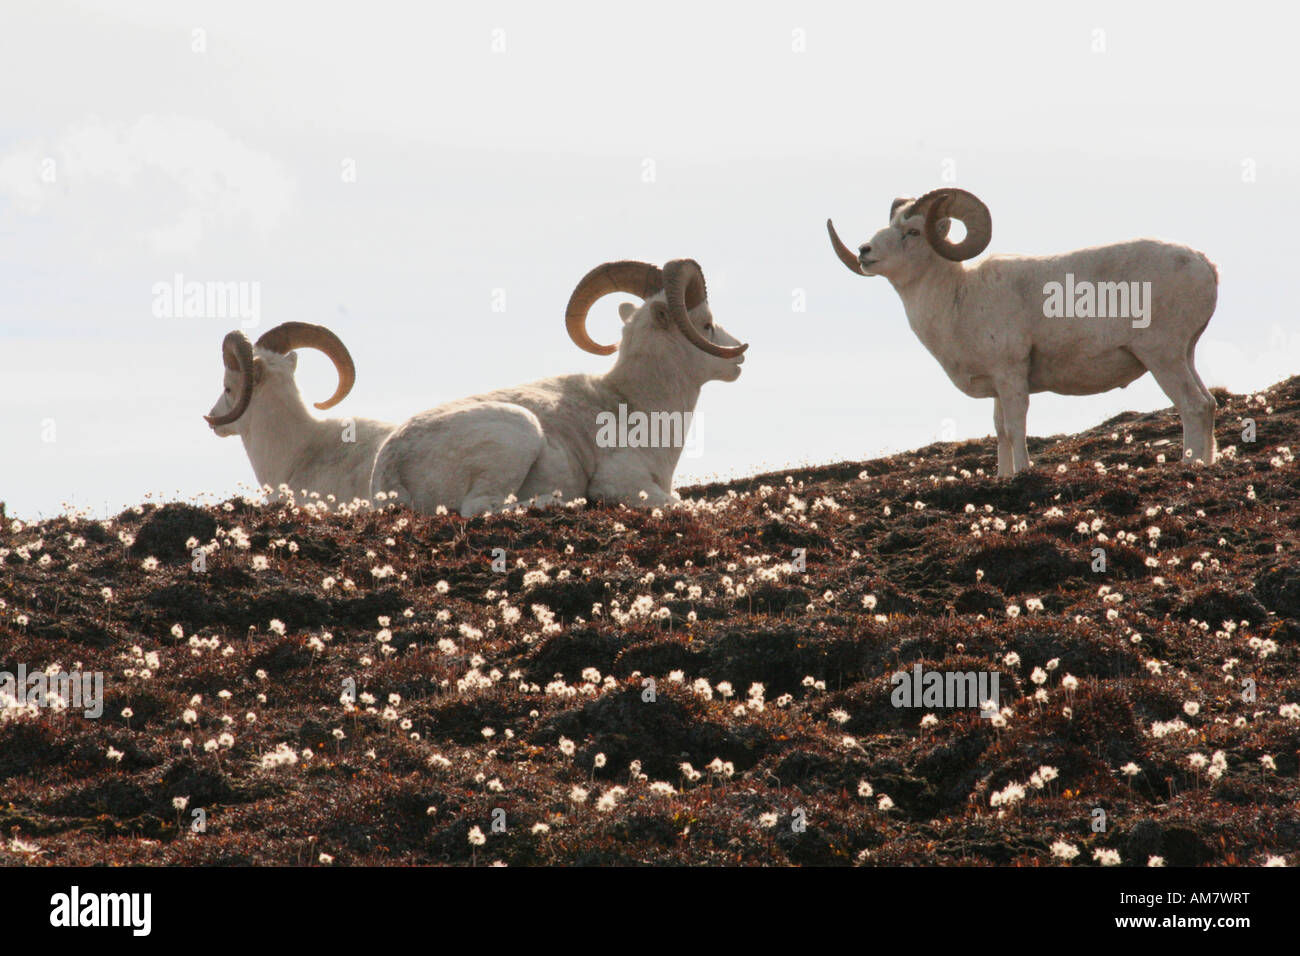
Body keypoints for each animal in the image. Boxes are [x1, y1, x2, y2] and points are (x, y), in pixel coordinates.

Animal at [371, 257, 748, 515]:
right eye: (706, 323)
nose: (739, 355)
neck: (637, 407)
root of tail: (389, 474)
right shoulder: (623, 483)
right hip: (518, 432)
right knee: (480, 508)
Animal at [832, 192, 1216, 476]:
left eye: (912, 232)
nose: (864, 252)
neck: (958, 296)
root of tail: (1206, 265)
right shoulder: (997, 387)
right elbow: (1000, 431)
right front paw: (1003, 477)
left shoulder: (1011, 373)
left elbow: (1017, 428)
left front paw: (1022, 473)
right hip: (1185, 354)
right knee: (1209, 404)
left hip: (1161, 356)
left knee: (1192, 406)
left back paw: (1190, 464)